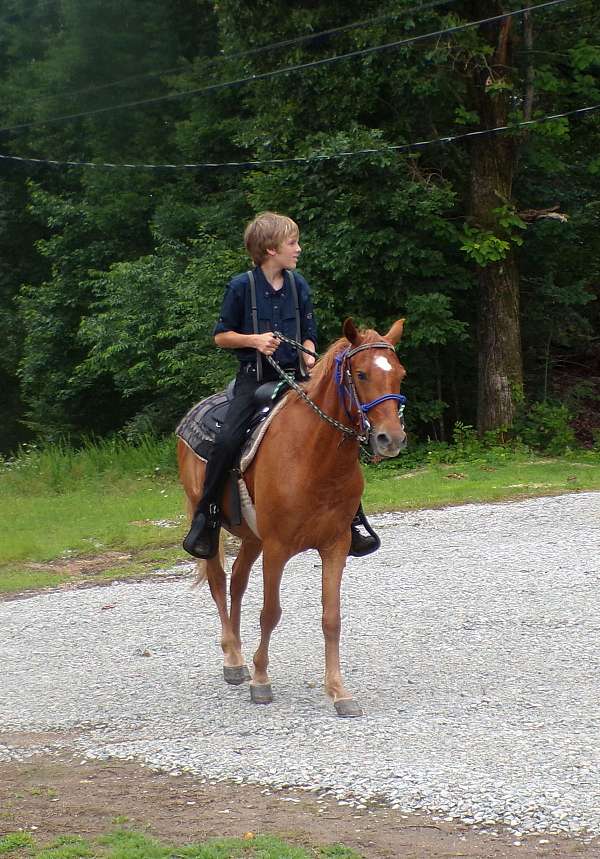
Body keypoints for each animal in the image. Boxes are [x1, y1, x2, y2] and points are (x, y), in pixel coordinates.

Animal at [177, 317, 407, 717]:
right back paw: (233, 660)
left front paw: (339, 691)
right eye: (361, 374)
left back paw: (238, 654)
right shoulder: (277, 548)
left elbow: (332, 618)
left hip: (250, 537)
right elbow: (270, 612)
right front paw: (261, 681)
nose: (389, 439)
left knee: (237, 583)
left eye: (400, 374)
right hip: (213, 524)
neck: (314, 456)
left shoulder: (335, 545)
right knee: (219, 582)